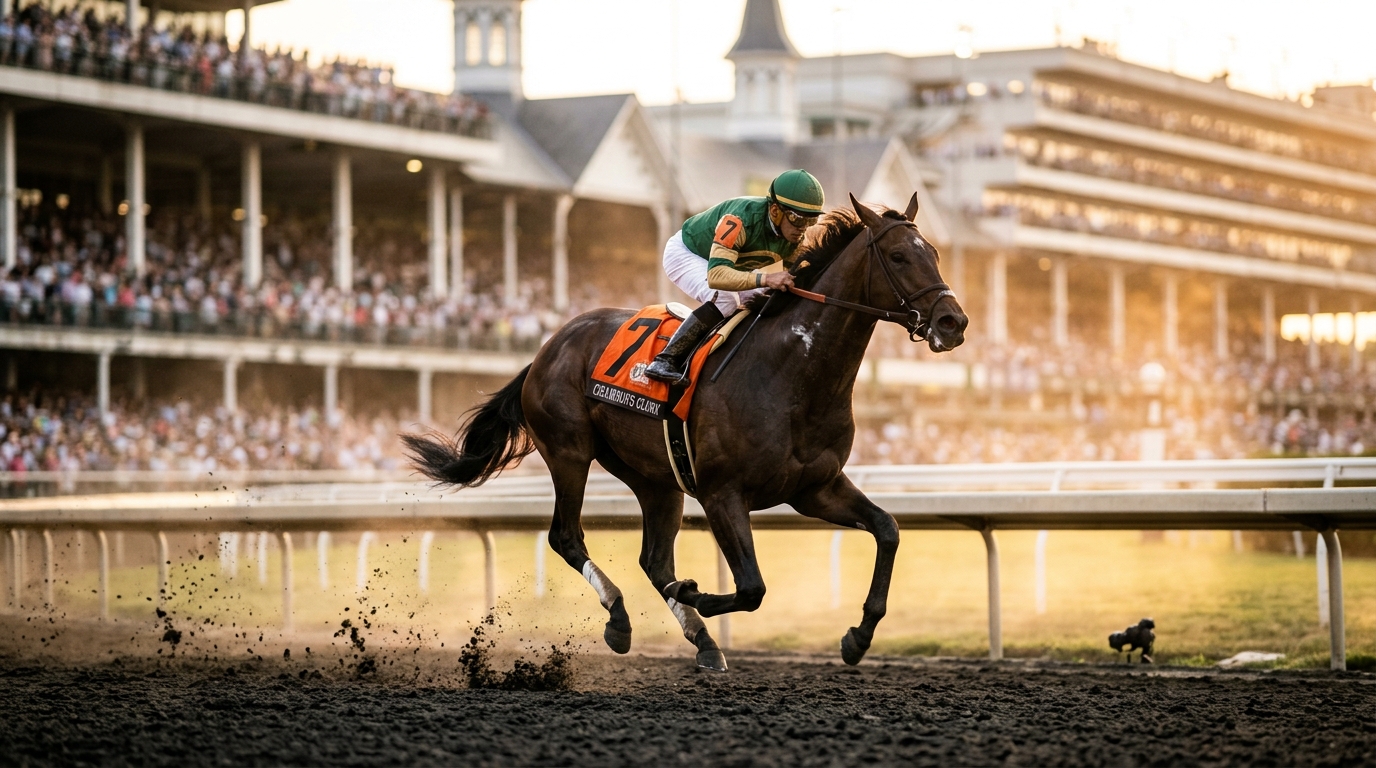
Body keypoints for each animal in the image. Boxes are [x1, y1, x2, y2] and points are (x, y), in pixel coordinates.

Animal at [404, 194, 968, 671]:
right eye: (898, 256)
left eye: (936, 254)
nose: (953, 322)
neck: (791, 373)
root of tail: (548, 346)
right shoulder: (723, 493)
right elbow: (752, 588)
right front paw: (693, 591)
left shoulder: (815, 488)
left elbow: (888, 530)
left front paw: (858, 636)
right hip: (569, 451)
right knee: (567, 536)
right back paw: (621, 619)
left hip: (656, 478)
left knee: (654, 560)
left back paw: (702, 641)